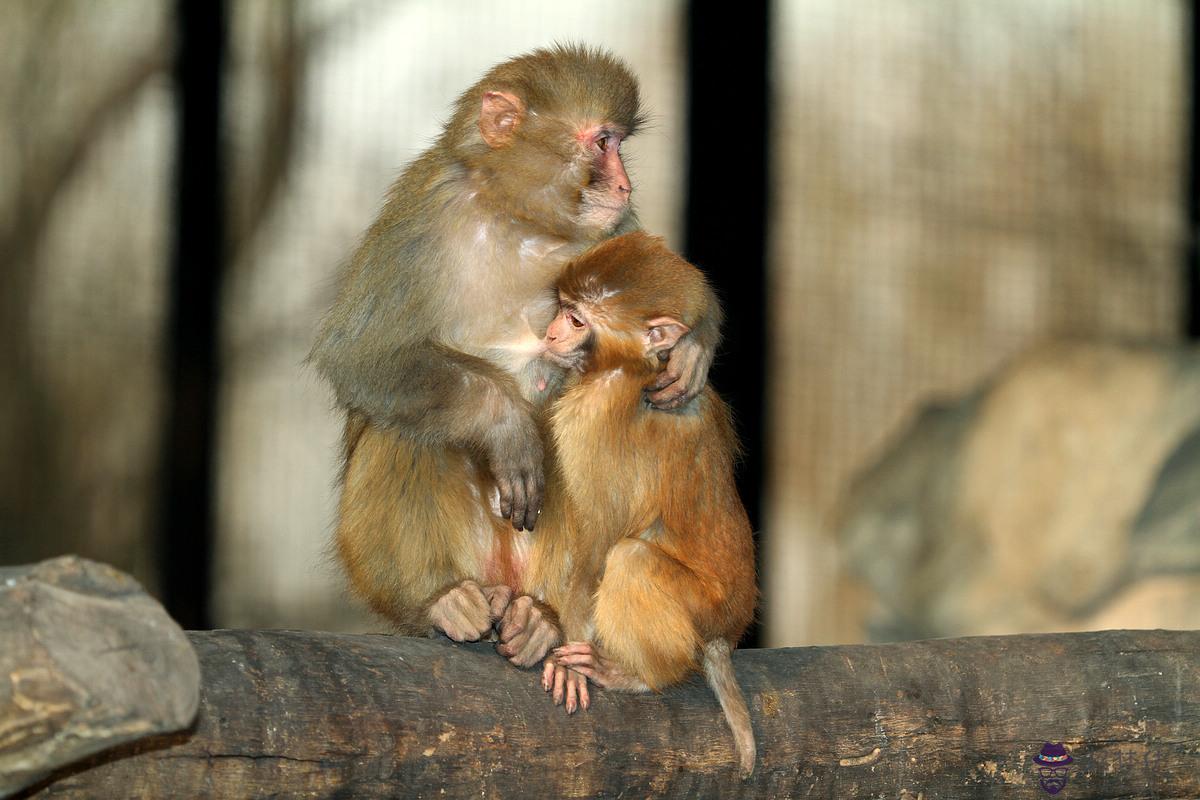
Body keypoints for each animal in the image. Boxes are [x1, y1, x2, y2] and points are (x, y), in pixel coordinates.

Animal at [312, 47, 720, 666]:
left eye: (619, 143)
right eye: (603, 142)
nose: (624, 184)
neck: (517, 219)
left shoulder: (612, 233)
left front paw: (693, 347)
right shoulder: (423, 211)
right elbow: (361, 353)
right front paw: (505, 424)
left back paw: (539, 621)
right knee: (403, 426)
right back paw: (442, 601)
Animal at [530, 231, 753, 777]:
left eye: (577, 320)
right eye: (562, 308)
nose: (550, 334)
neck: (631, 367)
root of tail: (729, 631)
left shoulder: (593, 416)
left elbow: (597, 544)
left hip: (705, 611)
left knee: (631, 558)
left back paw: (643, 676)